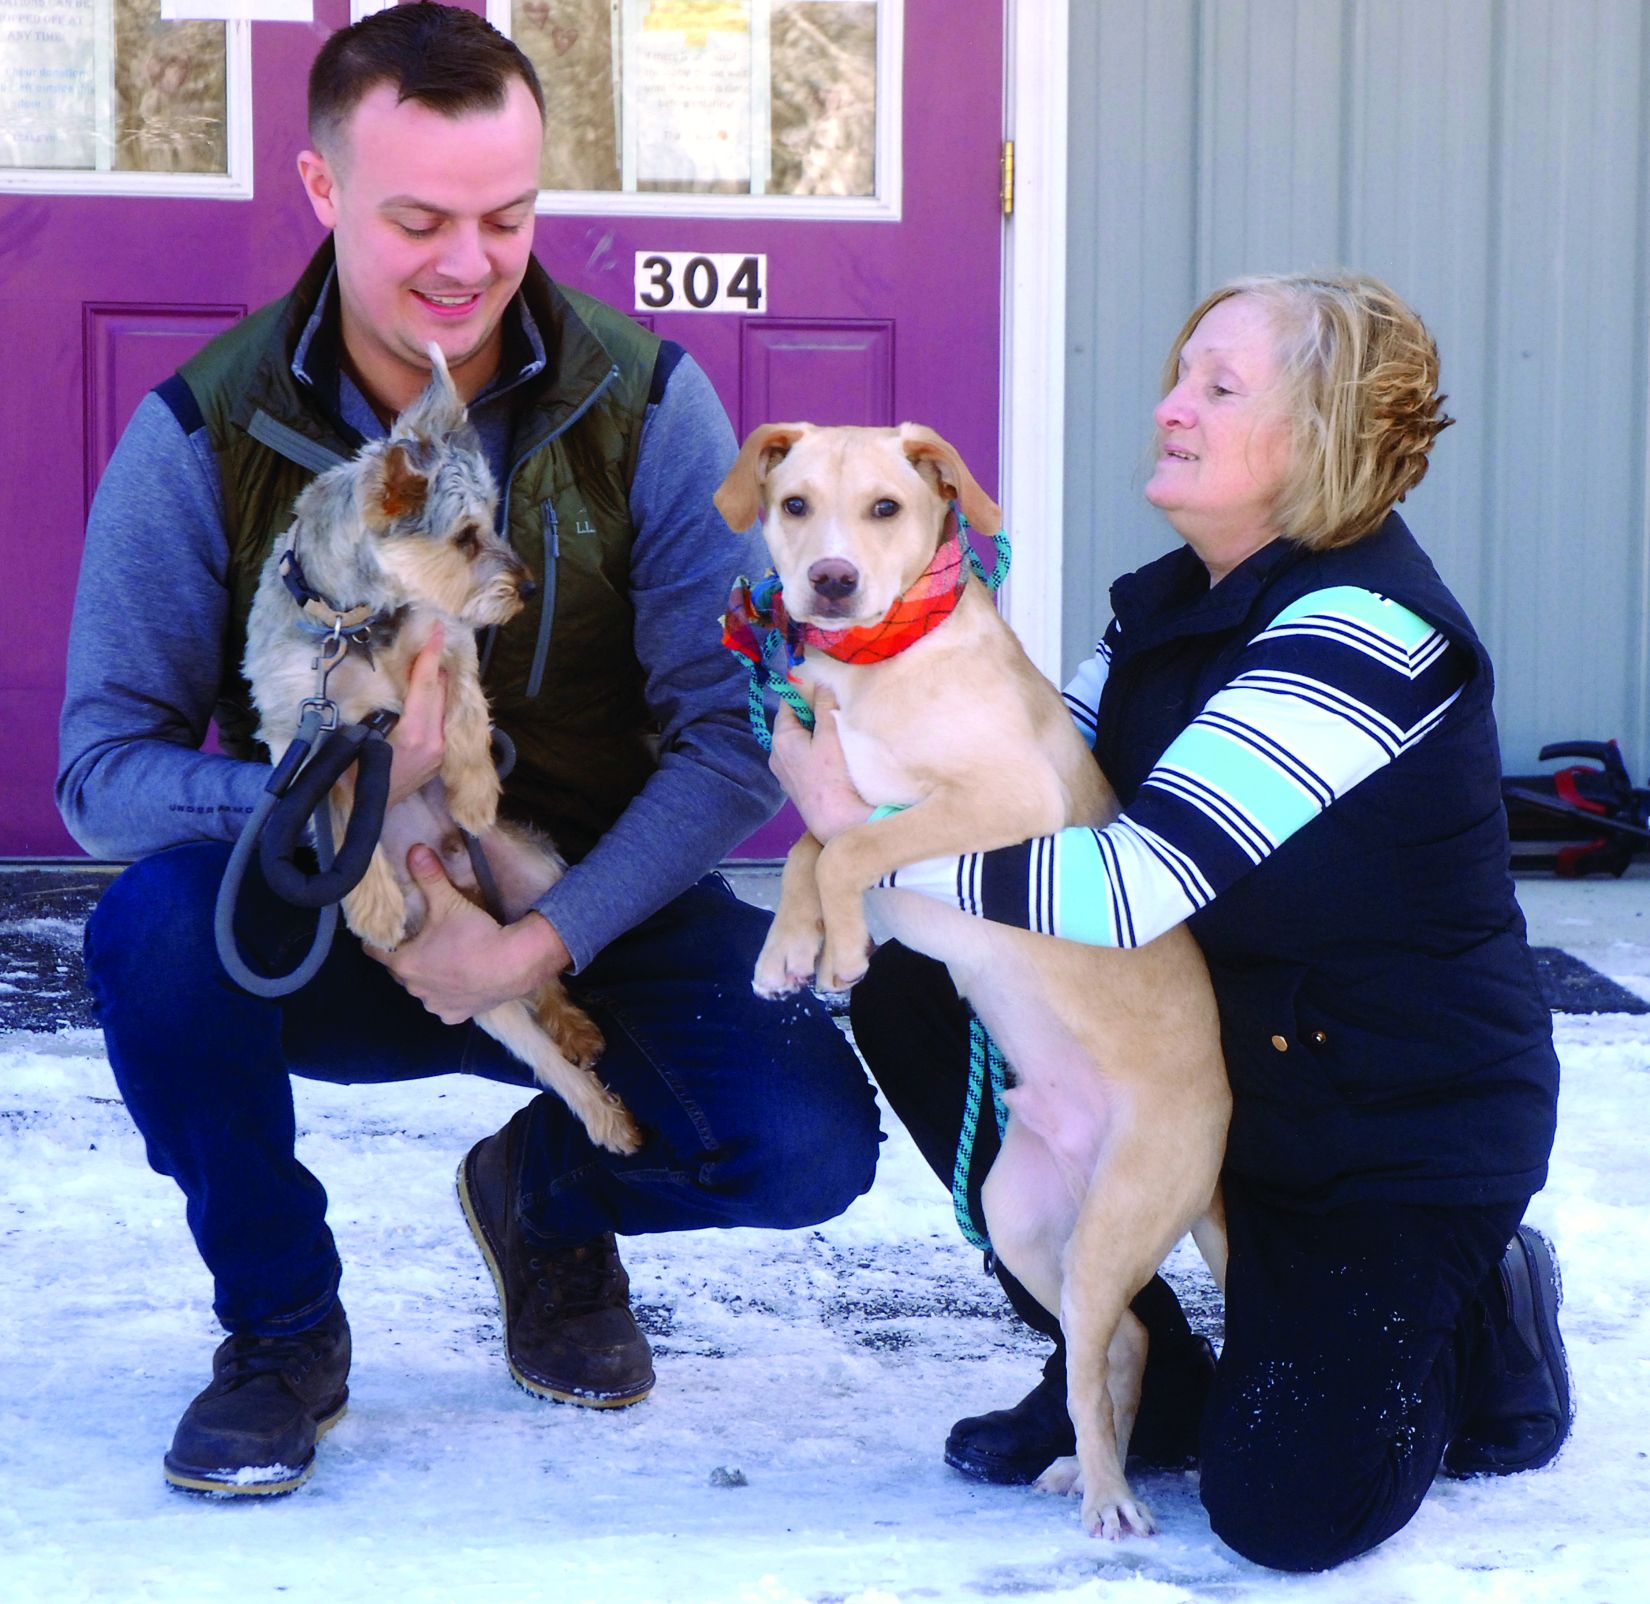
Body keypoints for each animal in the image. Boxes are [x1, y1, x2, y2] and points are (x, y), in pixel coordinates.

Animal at [244, 344, 643, 1161]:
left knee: (540, 956)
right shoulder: (301, 724)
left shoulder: (444, 638)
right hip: (466, 971)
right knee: (533, 1042)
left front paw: (474, 790)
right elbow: (337, 807)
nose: (527, 586)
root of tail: (463, 881)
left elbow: (466, 705)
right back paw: (599, 1110)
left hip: (534, 871)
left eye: (492, 524)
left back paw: (578, 1036)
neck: (359, 624)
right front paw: (370, 901)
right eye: (463, 537)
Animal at [716, 419, 1234, 1537]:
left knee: (1102, 1334)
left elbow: (848, 845)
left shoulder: (1001, 804)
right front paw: (786, 949)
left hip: (1118, 1217)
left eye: (885, 509)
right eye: (793, 504)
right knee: (1117, 1334)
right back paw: (1084, 1466)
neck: (880, 662)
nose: (829, 580)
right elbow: (809, 844)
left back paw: (1112, 1498)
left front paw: (841, 950)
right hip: (1020, 1216)